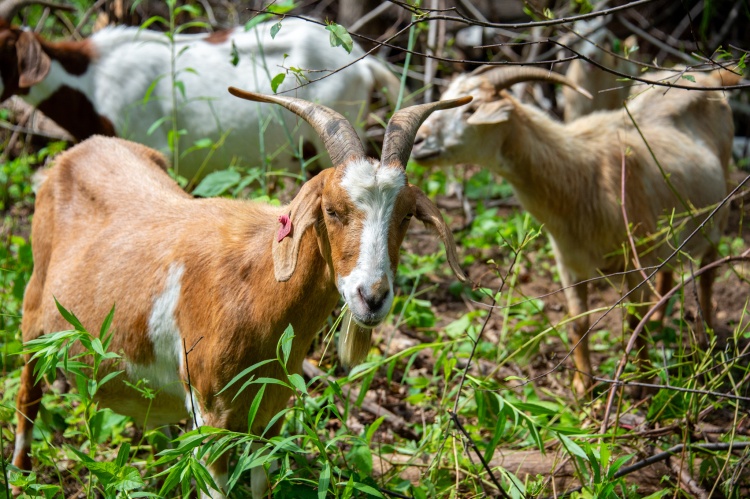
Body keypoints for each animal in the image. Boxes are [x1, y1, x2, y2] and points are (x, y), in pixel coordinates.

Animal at [13, 90, 471, 497]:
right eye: (331, 210)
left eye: (407, 215)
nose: (371, 297)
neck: (255, 287)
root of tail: (79, 150)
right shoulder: (211, 414)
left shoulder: (268, 412)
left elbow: (260, 483)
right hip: (34, 311)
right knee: (26, 394)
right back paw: (19, 477)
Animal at [412, 66, 737, 395]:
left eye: (472, 109)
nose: (419, 142)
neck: (580, 175)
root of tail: (709, 77)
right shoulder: (568, 264)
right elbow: (578, 321)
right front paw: (583, 385)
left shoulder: (636, 260)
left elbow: (635, 323)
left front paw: (644, 384)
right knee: (668, 271)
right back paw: (660, 318)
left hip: (717, 215)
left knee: (708, 272)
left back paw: (707, 338)